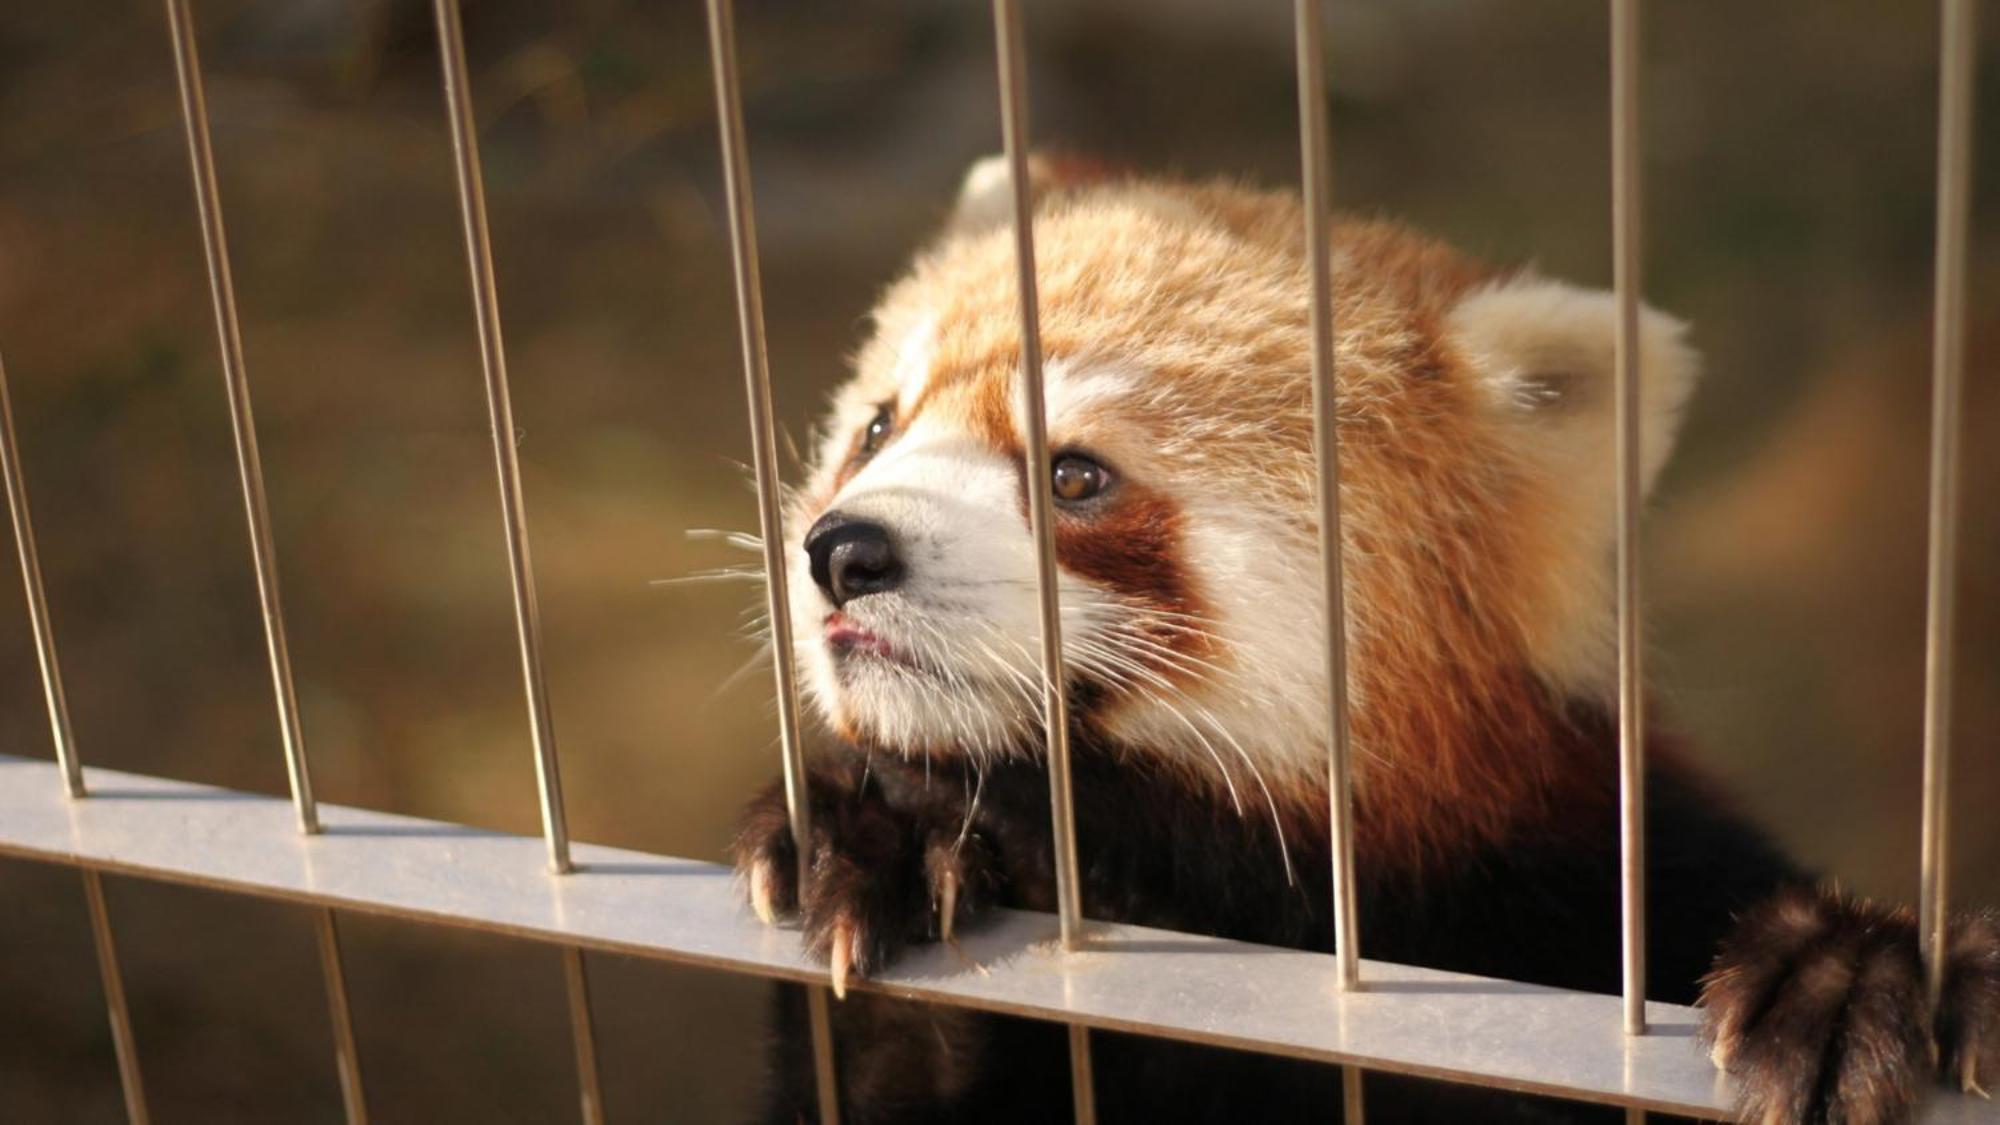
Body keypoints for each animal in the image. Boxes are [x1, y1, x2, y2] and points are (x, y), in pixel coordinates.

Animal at [732, 158, 2000, 1120]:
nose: (843, 550)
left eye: (1074, 475)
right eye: (876, 428)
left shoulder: (1584, 881)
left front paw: (1854, 975)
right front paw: (886, 835)